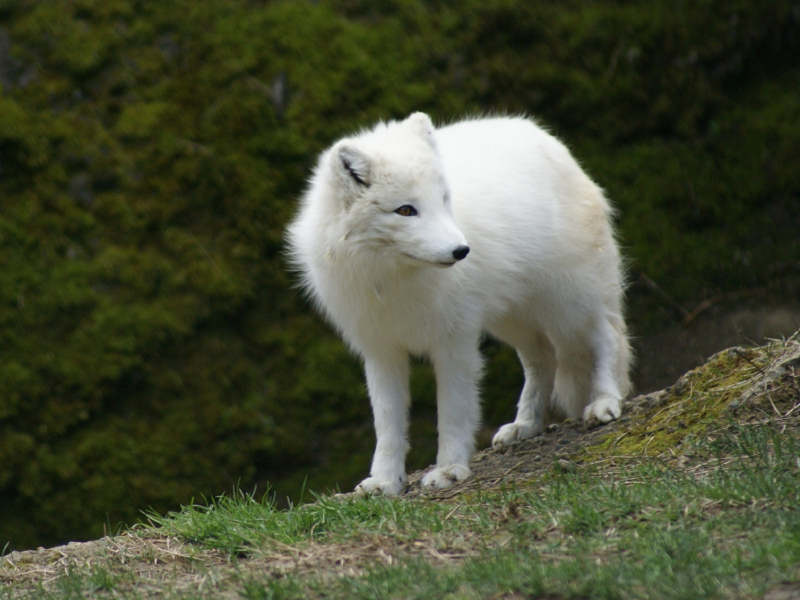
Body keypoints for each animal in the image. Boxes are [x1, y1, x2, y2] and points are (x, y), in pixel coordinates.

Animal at [287, 113, 631, 495]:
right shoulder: (381, 350)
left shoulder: (454, 343)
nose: (462, 251)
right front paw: (385, 480)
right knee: (541, 360)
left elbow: (452, 412)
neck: (393, 278)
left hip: (568, 300)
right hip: (513, 319)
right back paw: (526, 424)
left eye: (443, 200)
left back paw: (605, 400)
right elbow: (387, 425)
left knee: (607, 334)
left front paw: (449, 469)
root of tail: (544, 136)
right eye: (405, 210)